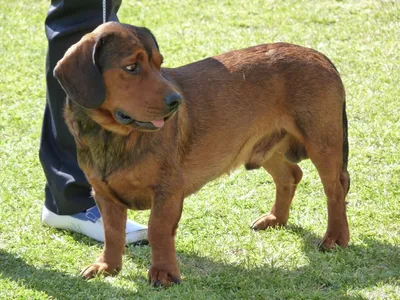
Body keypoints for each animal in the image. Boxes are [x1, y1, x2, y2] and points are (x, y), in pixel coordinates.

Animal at [54, 21, 350, 286]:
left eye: (159, 64)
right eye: (131, 67)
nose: (176, 102)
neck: (113, 136)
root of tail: (319, 55)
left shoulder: (168, 191)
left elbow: (158, 230)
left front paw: (163, 273)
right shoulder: (104, 194)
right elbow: (112, 233)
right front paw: (107, 267)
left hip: (322, 143)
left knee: (336, 188)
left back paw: (335, 238)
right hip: (266, 148)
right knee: (290, 175)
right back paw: (276, 218)